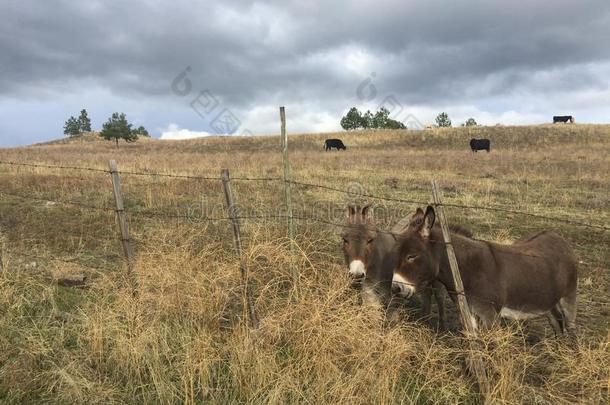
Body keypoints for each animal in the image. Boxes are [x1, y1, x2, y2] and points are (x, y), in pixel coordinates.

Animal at [390, 207, 576, 332]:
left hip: (568, 297)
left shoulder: (490, 316)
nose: (394, 288)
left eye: (411, 256)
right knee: (556, 323)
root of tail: (558, 237)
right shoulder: (469, 314)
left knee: (570, 327)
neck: (465, 268)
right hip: (548, 301)